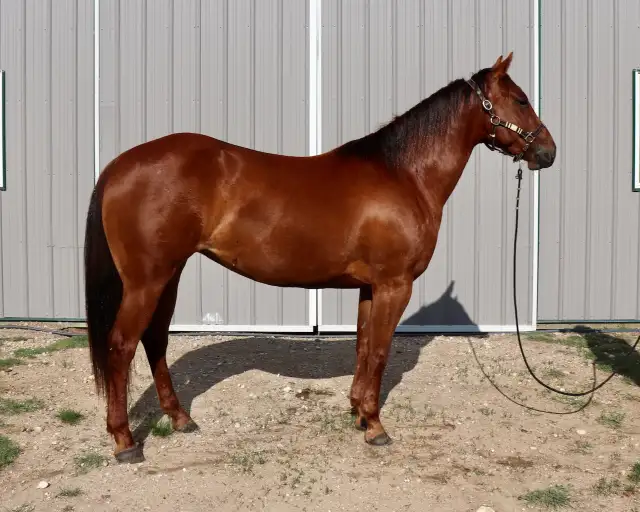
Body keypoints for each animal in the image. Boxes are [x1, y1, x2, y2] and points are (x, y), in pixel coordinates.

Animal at [84, 52, 556, 463]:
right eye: (521, 99)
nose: (548, 152)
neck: (403, 174)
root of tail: (120, 165)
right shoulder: (395, 285)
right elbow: (380, 352)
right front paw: (376, 427)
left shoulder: (371, 287)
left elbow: (364, 346)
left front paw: (358, 412)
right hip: (146, 280)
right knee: (122, 346)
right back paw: (125, 442)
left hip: (169, 274)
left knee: (156, 340)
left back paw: (181, 419)